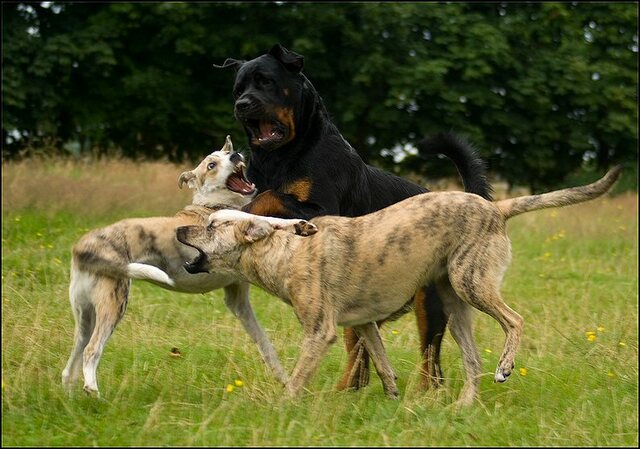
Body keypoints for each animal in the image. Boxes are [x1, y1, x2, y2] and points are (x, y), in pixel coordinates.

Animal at [62, 136, 318, 396]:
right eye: (211, 165)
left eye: (226, 153)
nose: (235, 155)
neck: (213, 204)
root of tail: (81, 245)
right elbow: (269, 220)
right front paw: (300, 224)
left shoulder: (237, 300)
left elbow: (264, 343)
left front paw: (285, 380)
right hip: (113, 304)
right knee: (91, 350)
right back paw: (93, 391)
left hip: (85, 316)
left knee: (70, 365)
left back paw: (74, 398)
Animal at [175, 167, 620, 402]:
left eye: (212, 225)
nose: (178, 229)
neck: (283, 250)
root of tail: (496, 207)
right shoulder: (365, 324)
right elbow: (384, 366)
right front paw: (392, 402)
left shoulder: (320, 332)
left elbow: (298, 377)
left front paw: (281, 406)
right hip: (455, 306)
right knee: (473, 361)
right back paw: (463, 407)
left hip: (471, 284)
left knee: (515, 321)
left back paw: (505, 368)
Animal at [216, 43, 496, 392]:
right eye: (238, 89)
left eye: (265, 81)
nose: (242, 104)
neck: (280, 157)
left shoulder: (321, 209)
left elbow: (269, 197)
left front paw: (245, 211)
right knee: (360, 350)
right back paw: (346, 389)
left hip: (428, 300)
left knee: (431, 360)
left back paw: (423, 394)